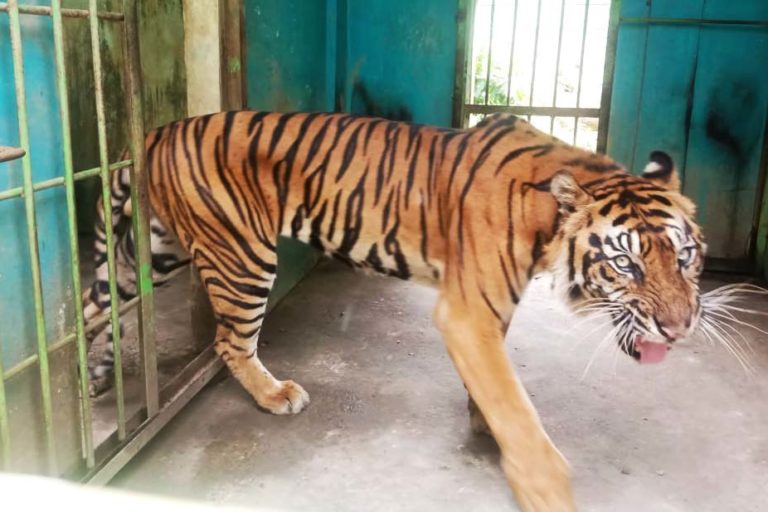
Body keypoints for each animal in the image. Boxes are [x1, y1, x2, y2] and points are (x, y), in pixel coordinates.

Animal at [85, 113, 708, 512]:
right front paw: (545, 489)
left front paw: (482, 421)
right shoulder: (467, 311)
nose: (679, 329)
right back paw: (275, 394)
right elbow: (516, 404)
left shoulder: (487, 309)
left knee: (95, 306)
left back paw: (93, 381)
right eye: (626, 264)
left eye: (685, 256)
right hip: (240, 254)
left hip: (153, 251)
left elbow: (494, 384)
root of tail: (156, 130)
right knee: (229, 341)